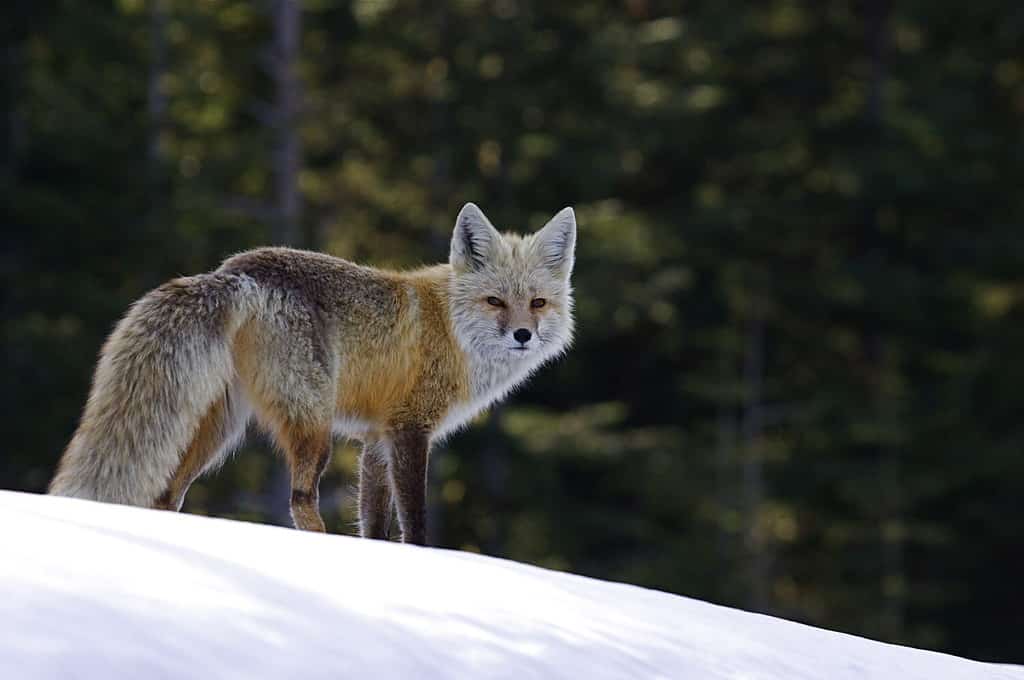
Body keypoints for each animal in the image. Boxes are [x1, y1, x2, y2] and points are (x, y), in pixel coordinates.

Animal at [48, 203, 576, 544]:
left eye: (537, 303)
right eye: (495, 302)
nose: (523, 335)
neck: (450, 329)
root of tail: (233, 271)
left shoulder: (375, 438)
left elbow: (374, 523)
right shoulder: (409, 429)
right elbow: (415, 522)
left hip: (217, 430)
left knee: (166, 495)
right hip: (313, 425)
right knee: (300, 498)